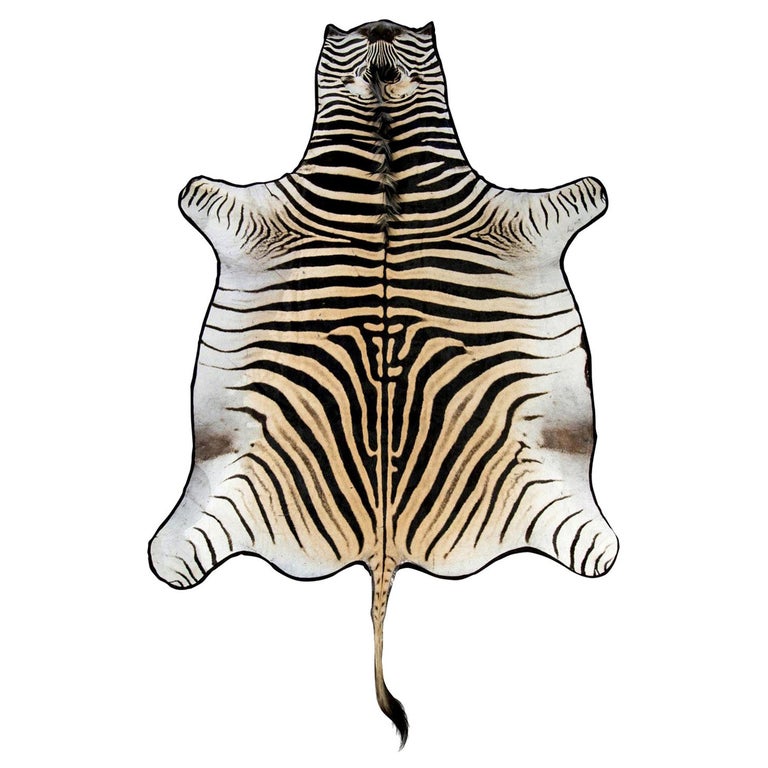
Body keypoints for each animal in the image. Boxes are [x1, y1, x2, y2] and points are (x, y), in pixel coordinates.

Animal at [148, 19, 618, 746]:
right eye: (341, 39)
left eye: (417, 41)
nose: (380, 23)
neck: (384, 149)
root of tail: (383, 545)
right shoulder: (249, 211)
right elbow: (202, 191)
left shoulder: (520, 215)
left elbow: (581, 193)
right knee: (180, 555)